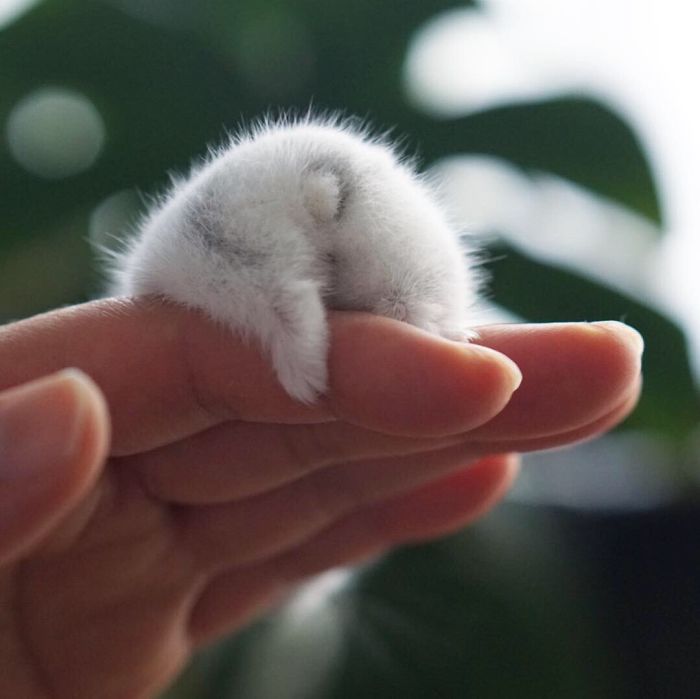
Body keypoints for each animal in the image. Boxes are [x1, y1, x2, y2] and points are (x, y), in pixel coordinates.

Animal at [109, 117, 480, 403]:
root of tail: (315, 181)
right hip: (396, 250)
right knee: (407, 308)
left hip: (228, 255)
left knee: (287, 300)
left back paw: (306, 385)